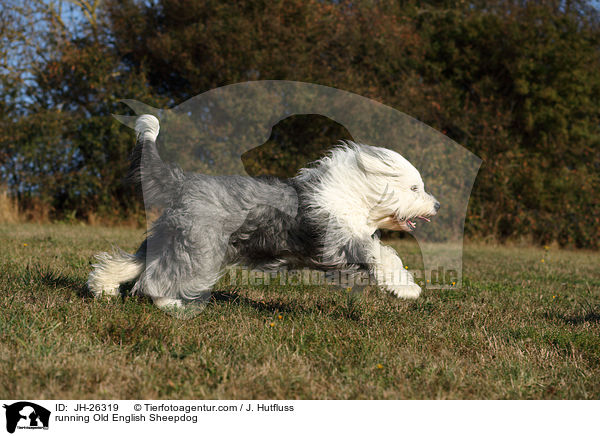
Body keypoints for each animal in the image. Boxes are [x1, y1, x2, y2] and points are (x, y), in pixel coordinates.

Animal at [86, 115, 438, 310]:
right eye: (414, 188)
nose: (435, 205)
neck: (352, 193)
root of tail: (184, 181)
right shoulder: (340, 242)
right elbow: (384, 255)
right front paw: (407, 290)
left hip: (170, 239)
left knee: (129, 263)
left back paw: (104, 289)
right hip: (200, 248)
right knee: (156, 278)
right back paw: (170, 303)